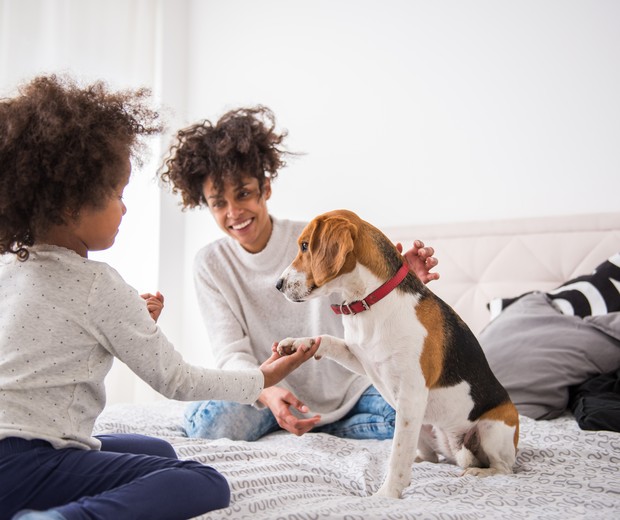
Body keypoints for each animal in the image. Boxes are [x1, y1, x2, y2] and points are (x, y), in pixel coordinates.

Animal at [276, 209, 520, 498]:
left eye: (304, 246)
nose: (278, 284)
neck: (370, 302)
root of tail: (455, 448)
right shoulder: (361, 358)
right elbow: (326, 339)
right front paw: (298, 343)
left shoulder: (411, 395)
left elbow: (398, 455)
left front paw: (386, 495)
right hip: (424, 427)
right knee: (431, 458)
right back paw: (423, 460)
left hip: (491, 427)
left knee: (504, 468)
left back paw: (478, 472)